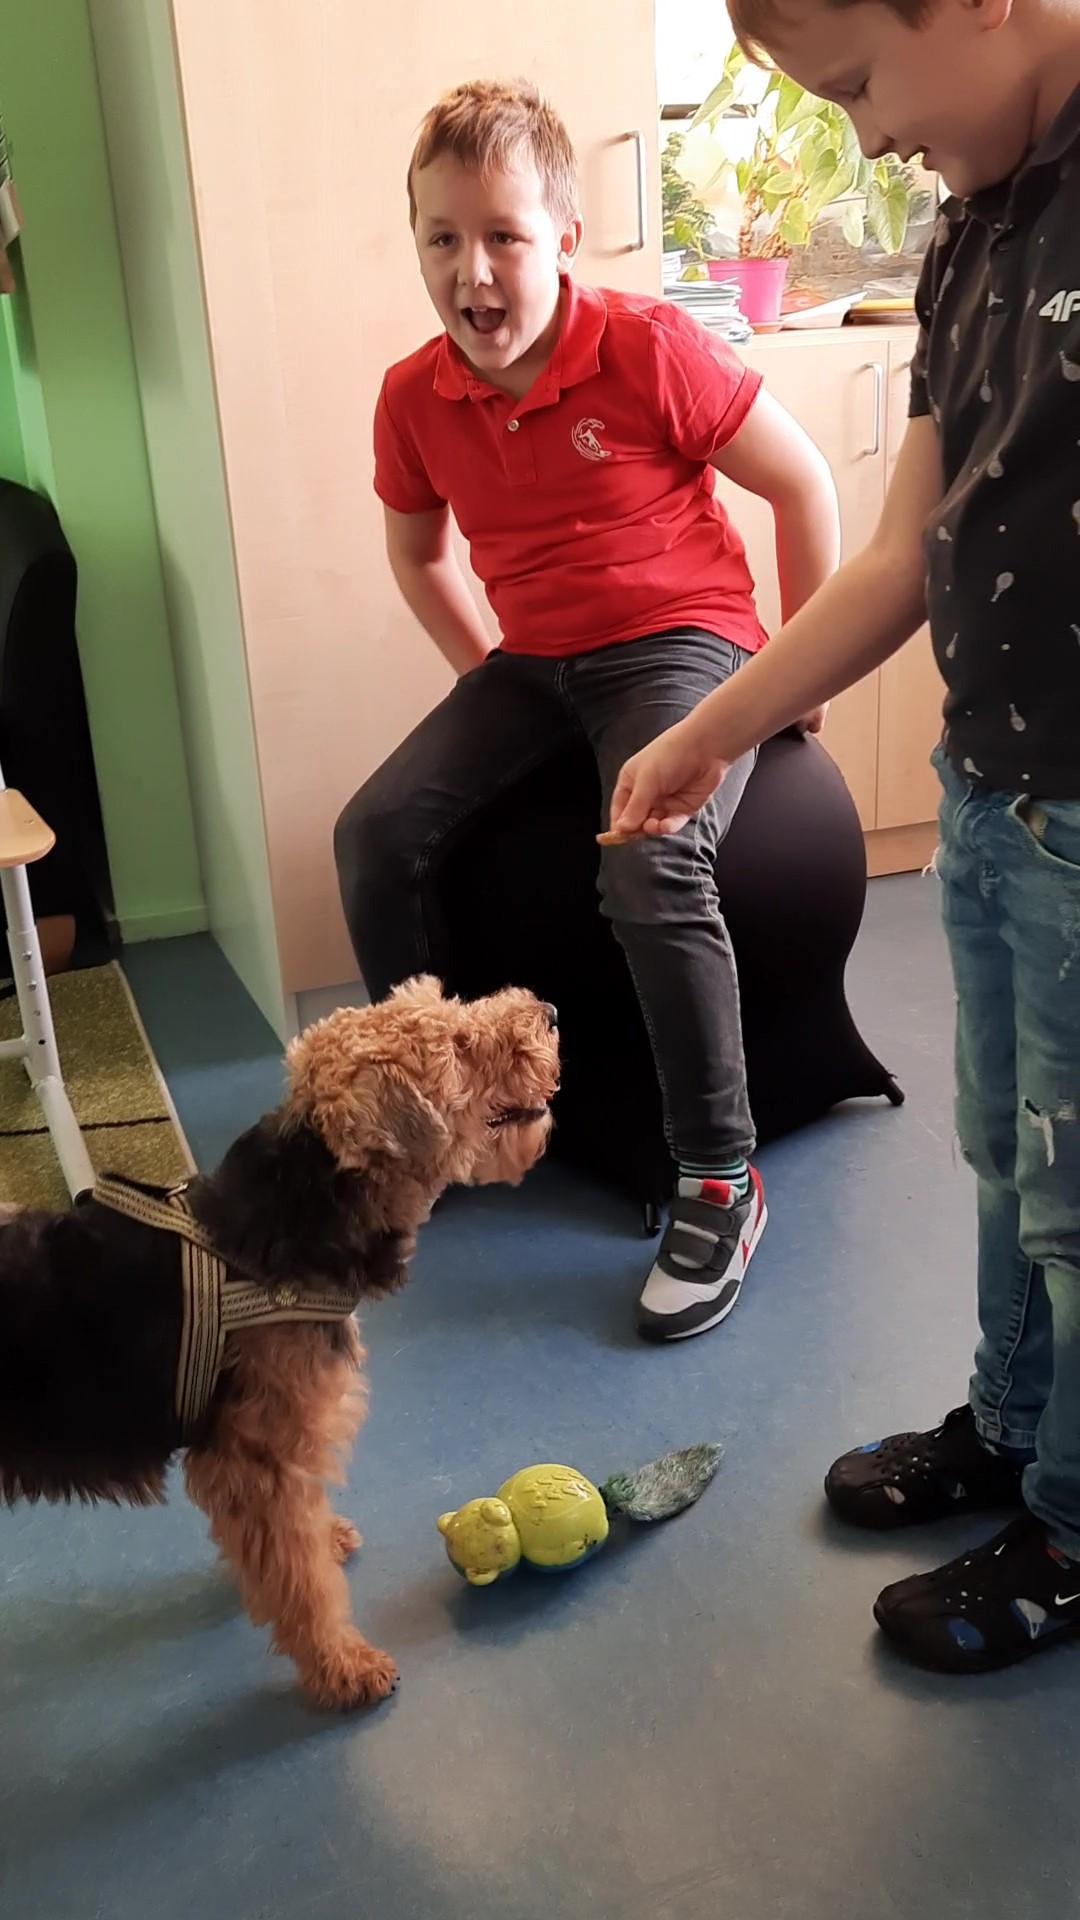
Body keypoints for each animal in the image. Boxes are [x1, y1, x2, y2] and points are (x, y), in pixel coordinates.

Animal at [0, 976, 559, 1709]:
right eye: (459, 1043)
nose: (550, 1013)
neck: (285, 1225)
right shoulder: (257, 1463)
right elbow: (304, 1588)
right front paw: (346, 1668)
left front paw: (329, 1544)